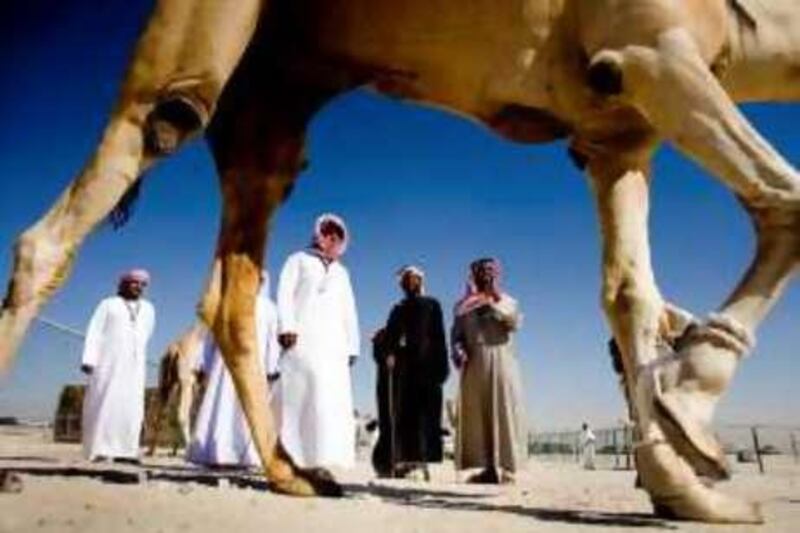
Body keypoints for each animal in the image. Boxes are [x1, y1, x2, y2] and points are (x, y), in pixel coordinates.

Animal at [145, 322, 206, 456]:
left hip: (166, 382)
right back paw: (187, 449)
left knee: (160, 412)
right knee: (181, 413)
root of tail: (173, 350)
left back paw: (152, 450)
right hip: (186, 381)